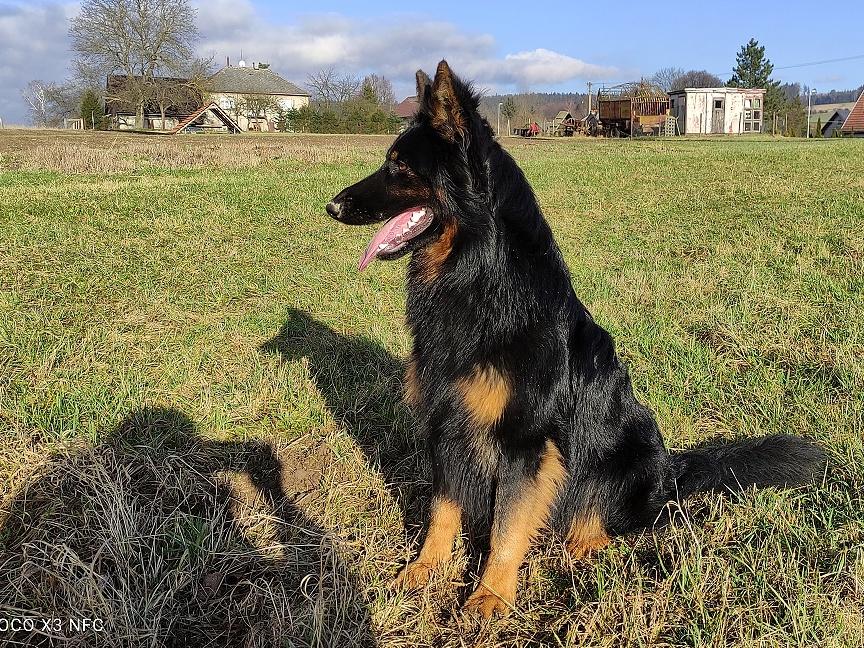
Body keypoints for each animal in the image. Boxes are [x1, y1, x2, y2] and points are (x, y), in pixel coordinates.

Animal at [325, 60, 825, 618]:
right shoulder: (446, 426)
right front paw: (424, 570)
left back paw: (580, 547)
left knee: (614, 523)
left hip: (624, 459)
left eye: (399, 168)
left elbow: (506, 527)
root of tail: (672, 469)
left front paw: (490, 595)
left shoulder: (524, 442)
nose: (331, 205)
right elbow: (442, 510)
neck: (482, 275)